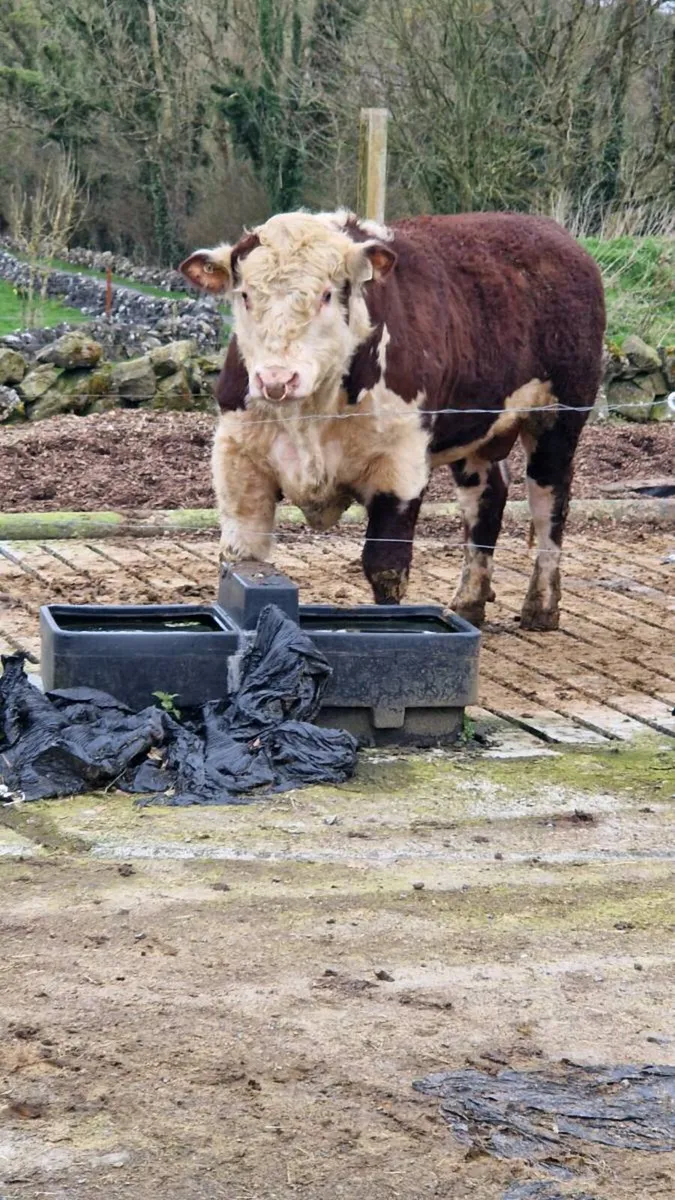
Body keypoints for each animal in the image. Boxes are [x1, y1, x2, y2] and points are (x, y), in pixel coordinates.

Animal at [179, 210, 605, 630]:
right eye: (245, 295)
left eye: (327, 295)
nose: (276, 379)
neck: (310, 413)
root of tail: (550, 231)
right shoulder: (239, 463)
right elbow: (243, 557)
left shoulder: (401, 466)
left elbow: (385, 565)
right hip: (477, 432)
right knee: (487, 498)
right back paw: (469, 601)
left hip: (559, 419)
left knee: (550, 504)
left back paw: (542, 605)